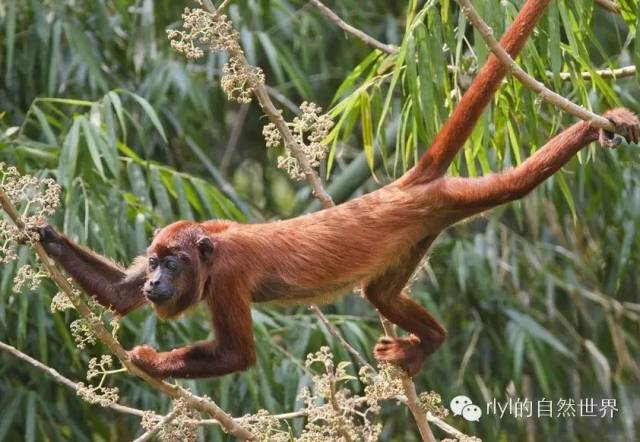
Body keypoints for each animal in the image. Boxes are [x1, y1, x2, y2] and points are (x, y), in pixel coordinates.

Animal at [37, 0, 640, 379]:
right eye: (153, 260)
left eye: (171, 263)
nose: (155, 280)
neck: (209, 253)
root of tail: (398, 188)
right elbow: (120, 297)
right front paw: (43, 234)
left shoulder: (228, 278)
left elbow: (236, 356)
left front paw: (148, 360)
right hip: (418, 231)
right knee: (381, 295)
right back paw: (430, 343)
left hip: (453, 198)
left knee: (514, 185)